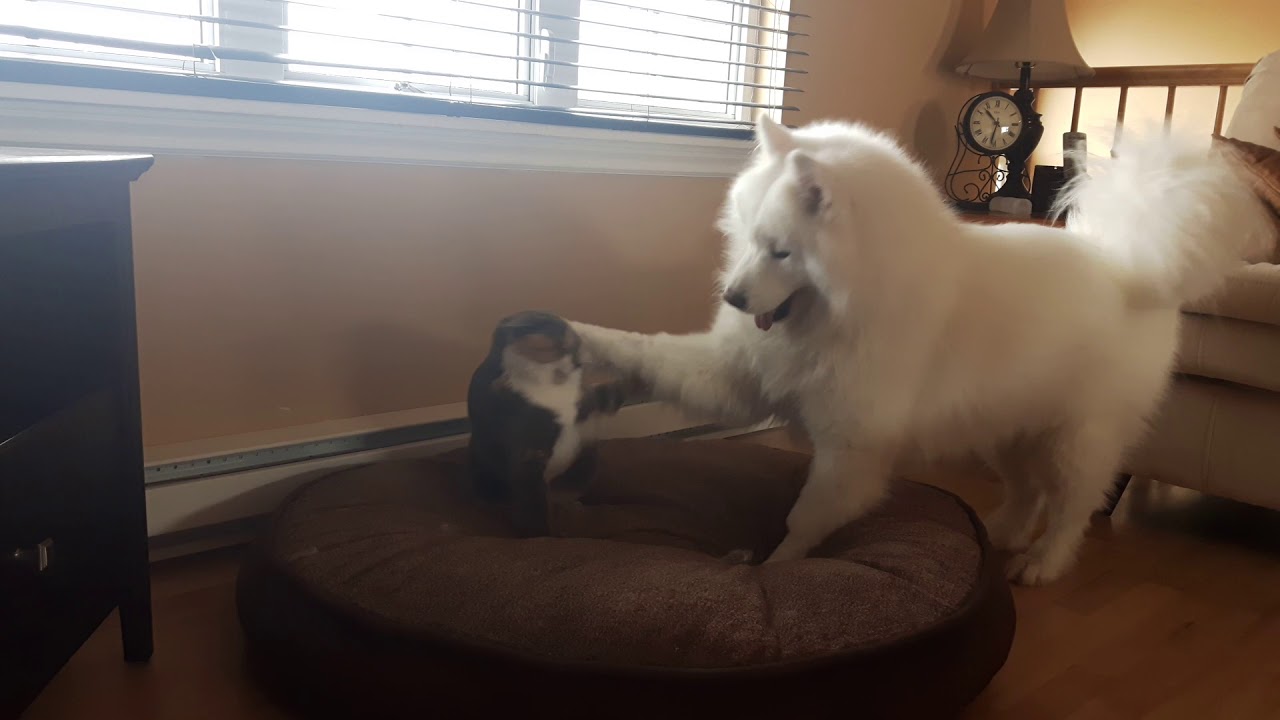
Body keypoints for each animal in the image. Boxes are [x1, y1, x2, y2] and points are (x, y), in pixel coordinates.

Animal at [568, 113, 1269, 584]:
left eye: (782, 251)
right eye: (747, 237)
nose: (736, 298)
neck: (844, 306)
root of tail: (1129, 264)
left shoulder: (851, 448)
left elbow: (805, 519)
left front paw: (775, 569)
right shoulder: (740, 375)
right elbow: (651, 353)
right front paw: (582, 339)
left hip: (1077, 438)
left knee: (1074, 504)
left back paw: (1042, 563)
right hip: (1003, 428)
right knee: (1028, 492)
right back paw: (1000, 533)